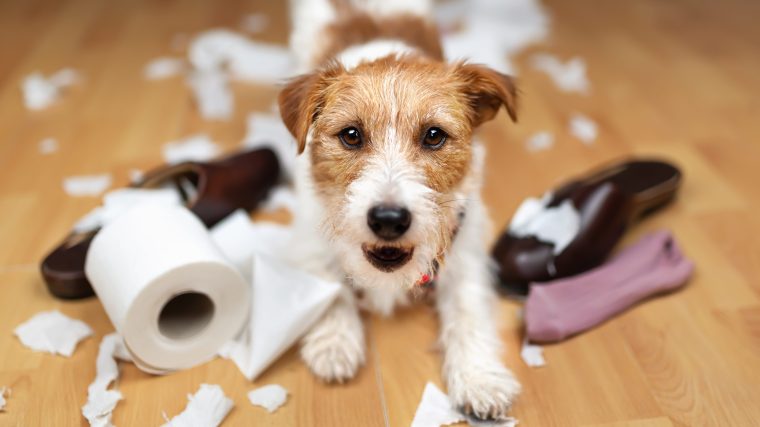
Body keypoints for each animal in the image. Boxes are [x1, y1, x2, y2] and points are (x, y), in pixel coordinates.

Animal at [280, 0, 524, 422]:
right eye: (351, 135)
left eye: (434, 135)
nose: (389, 220)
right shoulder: (308, 238)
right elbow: (330, 286)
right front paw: (334, 343)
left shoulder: (466, 249)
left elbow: (468, 313)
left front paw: (479, 378)